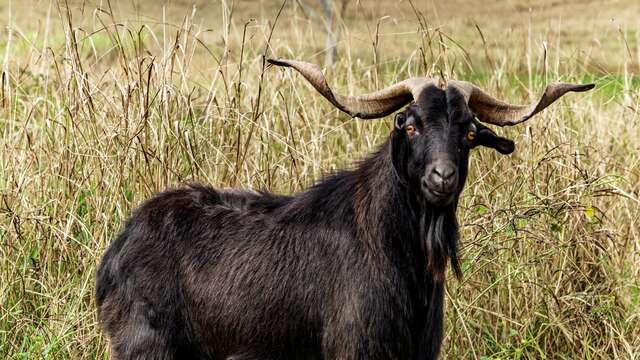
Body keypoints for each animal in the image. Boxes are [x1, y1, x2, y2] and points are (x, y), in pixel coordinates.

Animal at [94, 59, 592, 360]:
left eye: (469, 132)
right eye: (409, 124)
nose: (441, 178)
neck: (392, 248)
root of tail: (117, 251)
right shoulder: (354, 346)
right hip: (148, 345)